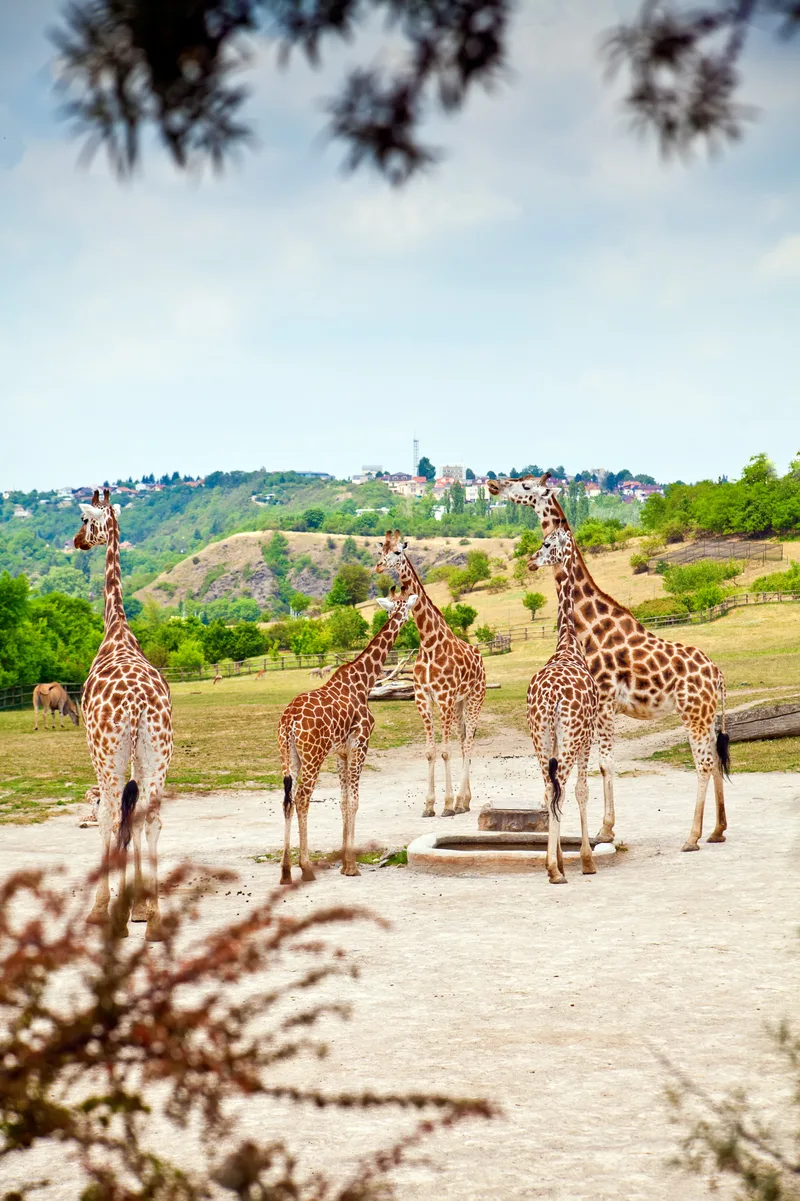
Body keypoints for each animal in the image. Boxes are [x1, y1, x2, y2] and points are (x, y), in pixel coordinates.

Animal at [278, 586, 418, 884]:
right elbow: (354, 801)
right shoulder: (360, 744)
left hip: (289, 756)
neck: (363, 681)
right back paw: (306, 868)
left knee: (287, 800)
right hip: (313, 756)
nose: (407, 621)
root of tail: (289, 721)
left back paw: (285, 872)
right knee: (302, 798)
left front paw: (344, 863)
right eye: (405, 607)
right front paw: (352, 865)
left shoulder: (340, 752)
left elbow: (342, 802)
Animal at [375, 531, 486, 818]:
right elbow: (429, 751)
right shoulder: (423, 698)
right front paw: (428, 805)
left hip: (475, 698)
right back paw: (465, 800)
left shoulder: (444, 698)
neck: (428, 643)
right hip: (460, 703)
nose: (378, 567)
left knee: (468, 742)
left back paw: (459, 801)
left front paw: (446, 805)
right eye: (381, 551)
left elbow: (445, 751)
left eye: (398, 552)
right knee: (463, 740)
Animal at [487, 476, 730, 851]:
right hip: (704, 714)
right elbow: (600, 765)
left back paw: (692, 837)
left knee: (703, 762)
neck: (587, 623)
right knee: (716, 758)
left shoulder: (602, 702)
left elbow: (605, 764)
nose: (493, 484)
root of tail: (716, 673)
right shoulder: (601, 706)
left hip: (694, 713)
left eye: (525, 484)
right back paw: (717, 831)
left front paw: (605, 830)